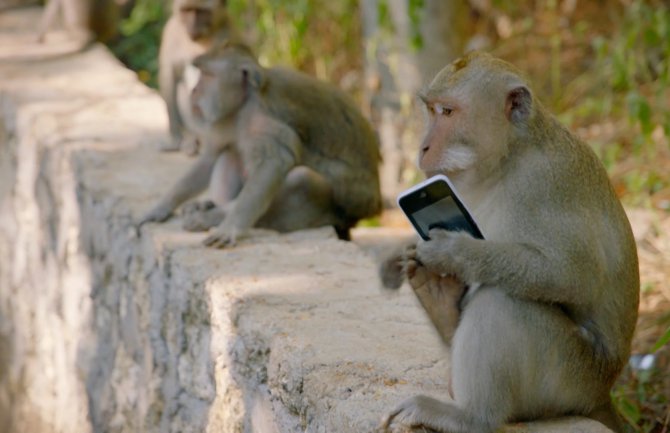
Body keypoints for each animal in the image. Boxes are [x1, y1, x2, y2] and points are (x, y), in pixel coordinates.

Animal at [140, 43, 384, 246]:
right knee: (231, 152)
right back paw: (211, 205)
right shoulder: (226, 118)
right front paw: (162, 206)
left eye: (207, 75)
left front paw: (231, 227)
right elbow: (211, 156)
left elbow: (274, 162)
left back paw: (212, 216)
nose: (194, 91)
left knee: (302, 178)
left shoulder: (262, 118)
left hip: (341, 209)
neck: (244, 102)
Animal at [378, 50, 640, 432]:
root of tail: (602, 393)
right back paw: (441, 304)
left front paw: (455, 253)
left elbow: (574, 277)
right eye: (432, 110)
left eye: (448, 112)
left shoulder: (543, 183)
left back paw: (472, 417)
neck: (509, 157)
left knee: (502, 300)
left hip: (570, 377)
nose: (423, 147)